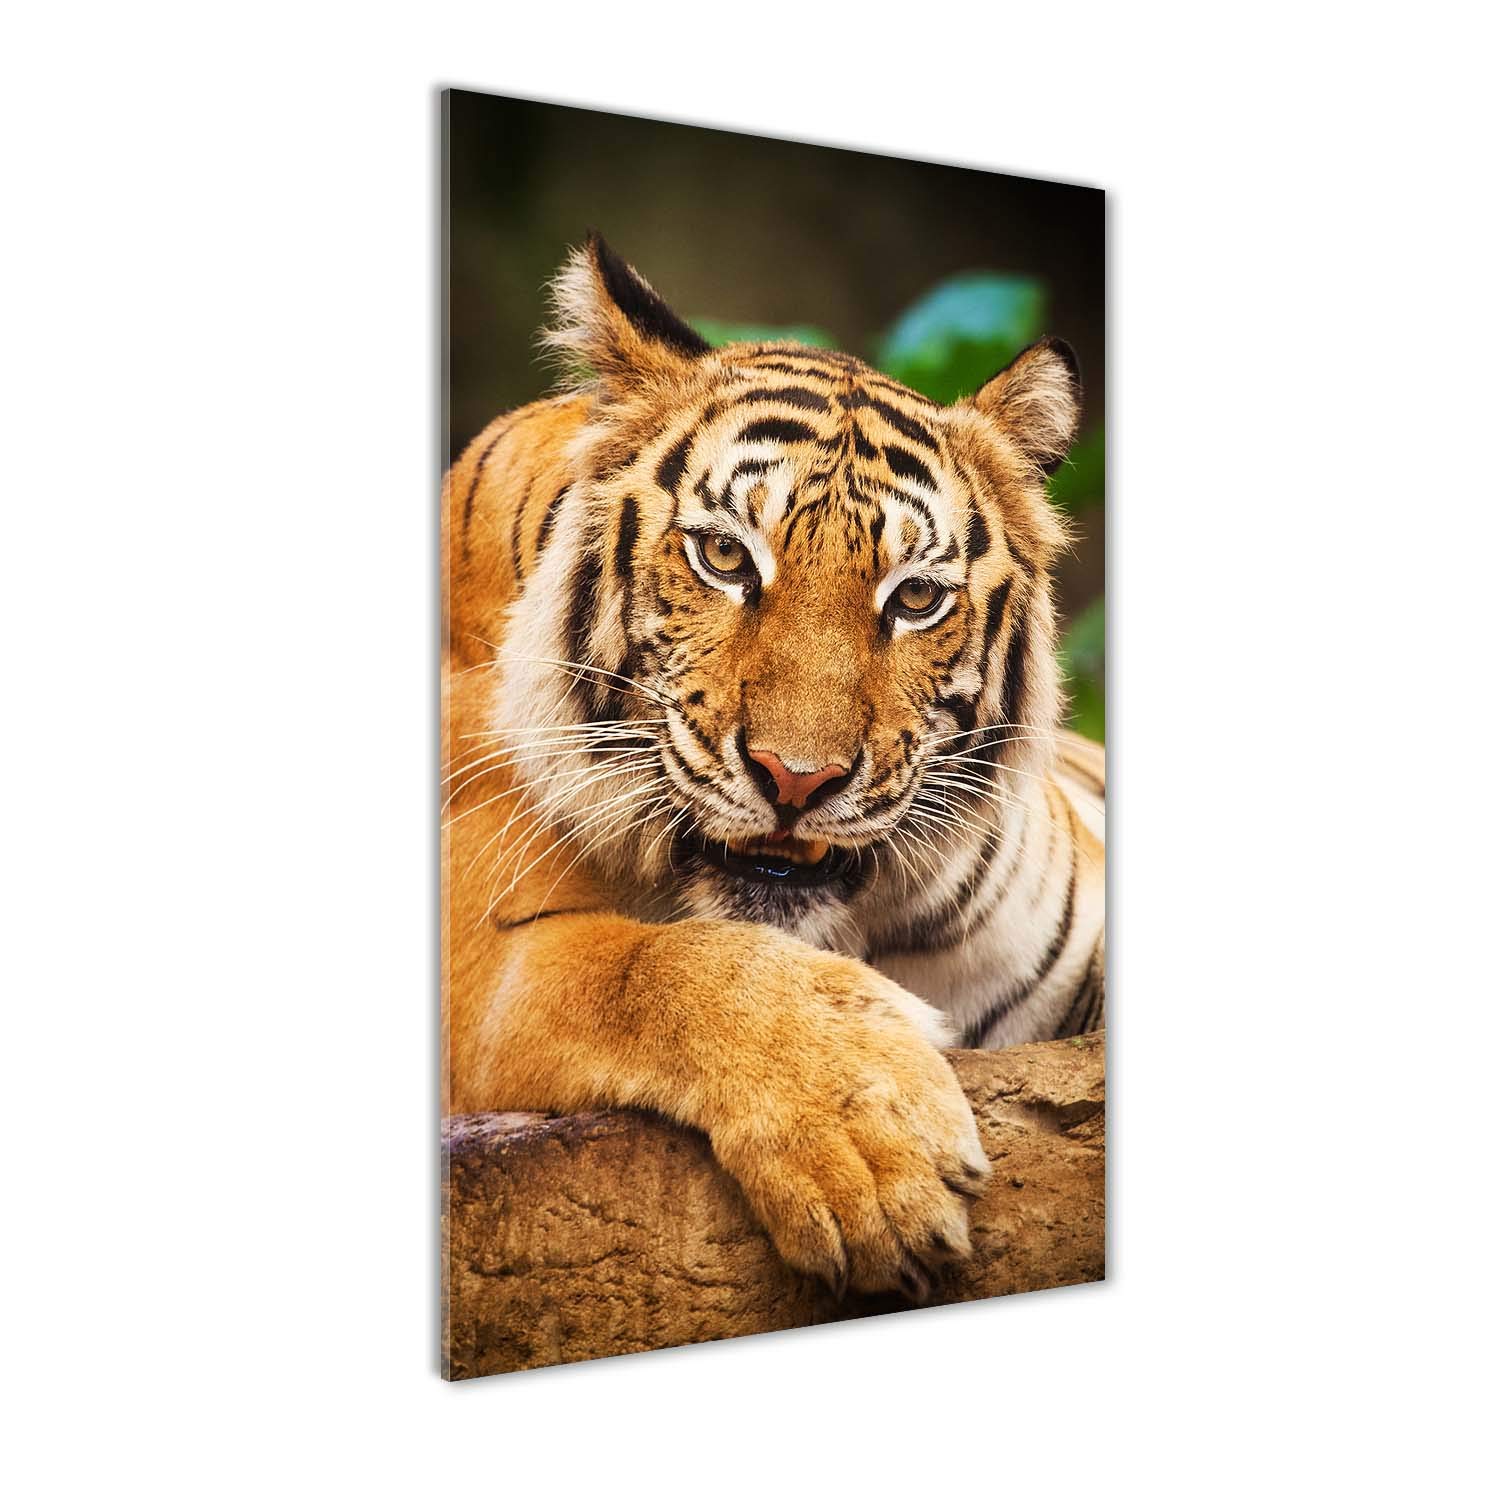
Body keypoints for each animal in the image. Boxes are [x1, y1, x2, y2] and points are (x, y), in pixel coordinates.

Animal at [442, 235, 1104, 1301]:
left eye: (914, 598)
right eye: (723, 556)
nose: (796, 779)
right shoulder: (481, 954)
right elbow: (657, 964)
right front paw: (875, 1153)